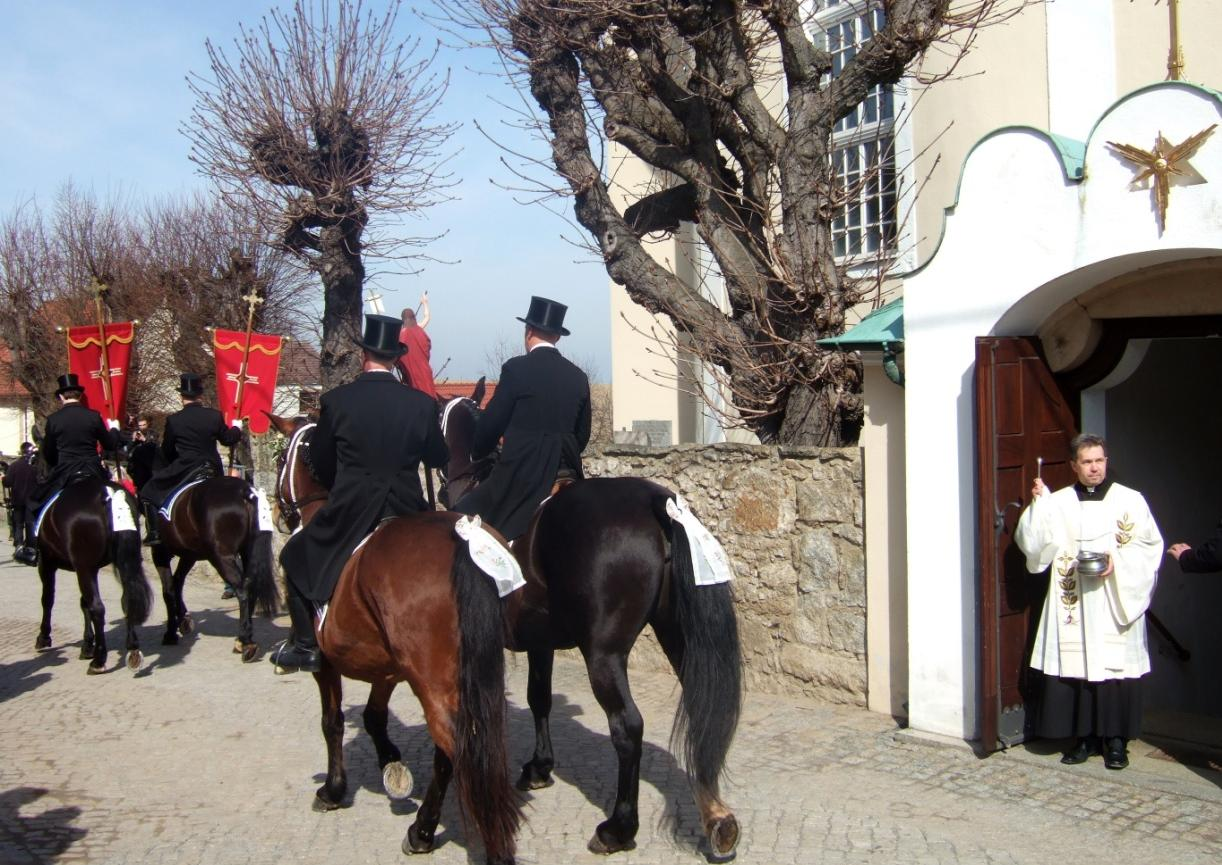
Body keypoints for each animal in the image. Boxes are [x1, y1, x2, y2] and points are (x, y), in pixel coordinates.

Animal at [32, 476, 152, 674]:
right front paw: (87, 645)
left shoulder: (48, 562)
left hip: (82, 567)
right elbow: (84, 604)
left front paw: (44, 637)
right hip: (124, 561)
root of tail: (108, 494)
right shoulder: (91, 568)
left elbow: (48, 599)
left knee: (98, 607)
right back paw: (133, 649)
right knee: (127, 598)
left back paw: (99, 661)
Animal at [129, 447, 281, 664]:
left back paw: (246, 642)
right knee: (250, 586)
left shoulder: (160, 553)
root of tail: (244, 492)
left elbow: (168, 590)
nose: (134, 492)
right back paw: (241, 639)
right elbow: (177, 583)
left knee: (242, 590)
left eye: (131, 466)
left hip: (221, 557)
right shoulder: (189, 555)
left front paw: (171, 633)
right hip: (248, 551)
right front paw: (184, 620)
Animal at [270, 412, 523, 865]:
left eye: (282, 458)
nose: (279, 511)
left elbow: (332, 722)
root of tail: (465, 540)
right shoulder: (387, 669)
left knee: (456, 749)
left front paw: (333, 790)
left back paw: (442, 836)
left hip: (432, 680)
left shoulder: (327, 664)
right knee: (456, 751)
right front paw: (392, 765)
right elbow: (373, 716)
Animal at [439, 393, 742, 860]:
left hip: (603, 654)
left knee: (627, 727)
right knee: (700, 709)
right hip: (677, 635)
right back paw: (716, 817)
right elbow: (539, 698)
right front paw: (540, 766)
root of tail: (658, 506)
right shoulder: (540, 641)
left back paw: (618, 828)